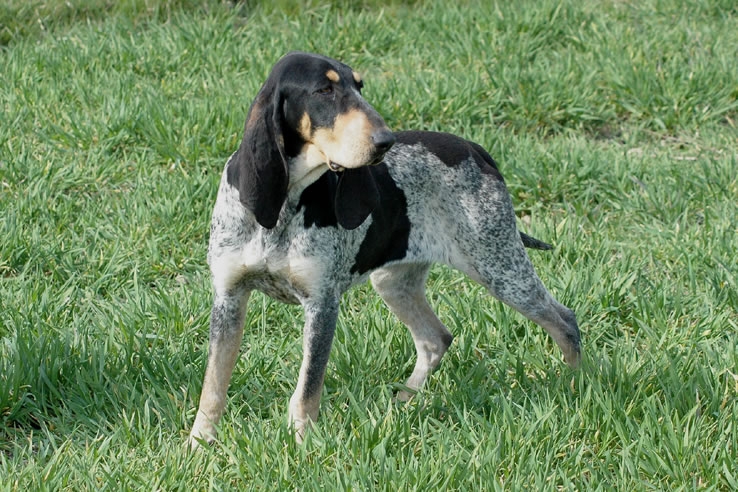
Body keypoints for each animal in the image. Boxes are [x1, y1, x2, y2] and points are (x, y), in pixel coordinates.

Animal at [187, 52, 576, 448]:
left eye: (359, 86)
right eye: (324, 90)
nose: (385, 140)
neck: (285, 204)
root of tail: (475, 150)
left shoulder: (322, 305)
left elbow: (307, 389)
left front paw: (302, 444)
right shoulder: (229, 297)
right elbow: (213, 386)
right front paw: (199, 443)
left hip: (501, 270)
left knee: (565, 321)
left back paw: (576, 384)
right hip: (395, 283)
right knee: (435, 339)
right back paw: (403, 403)